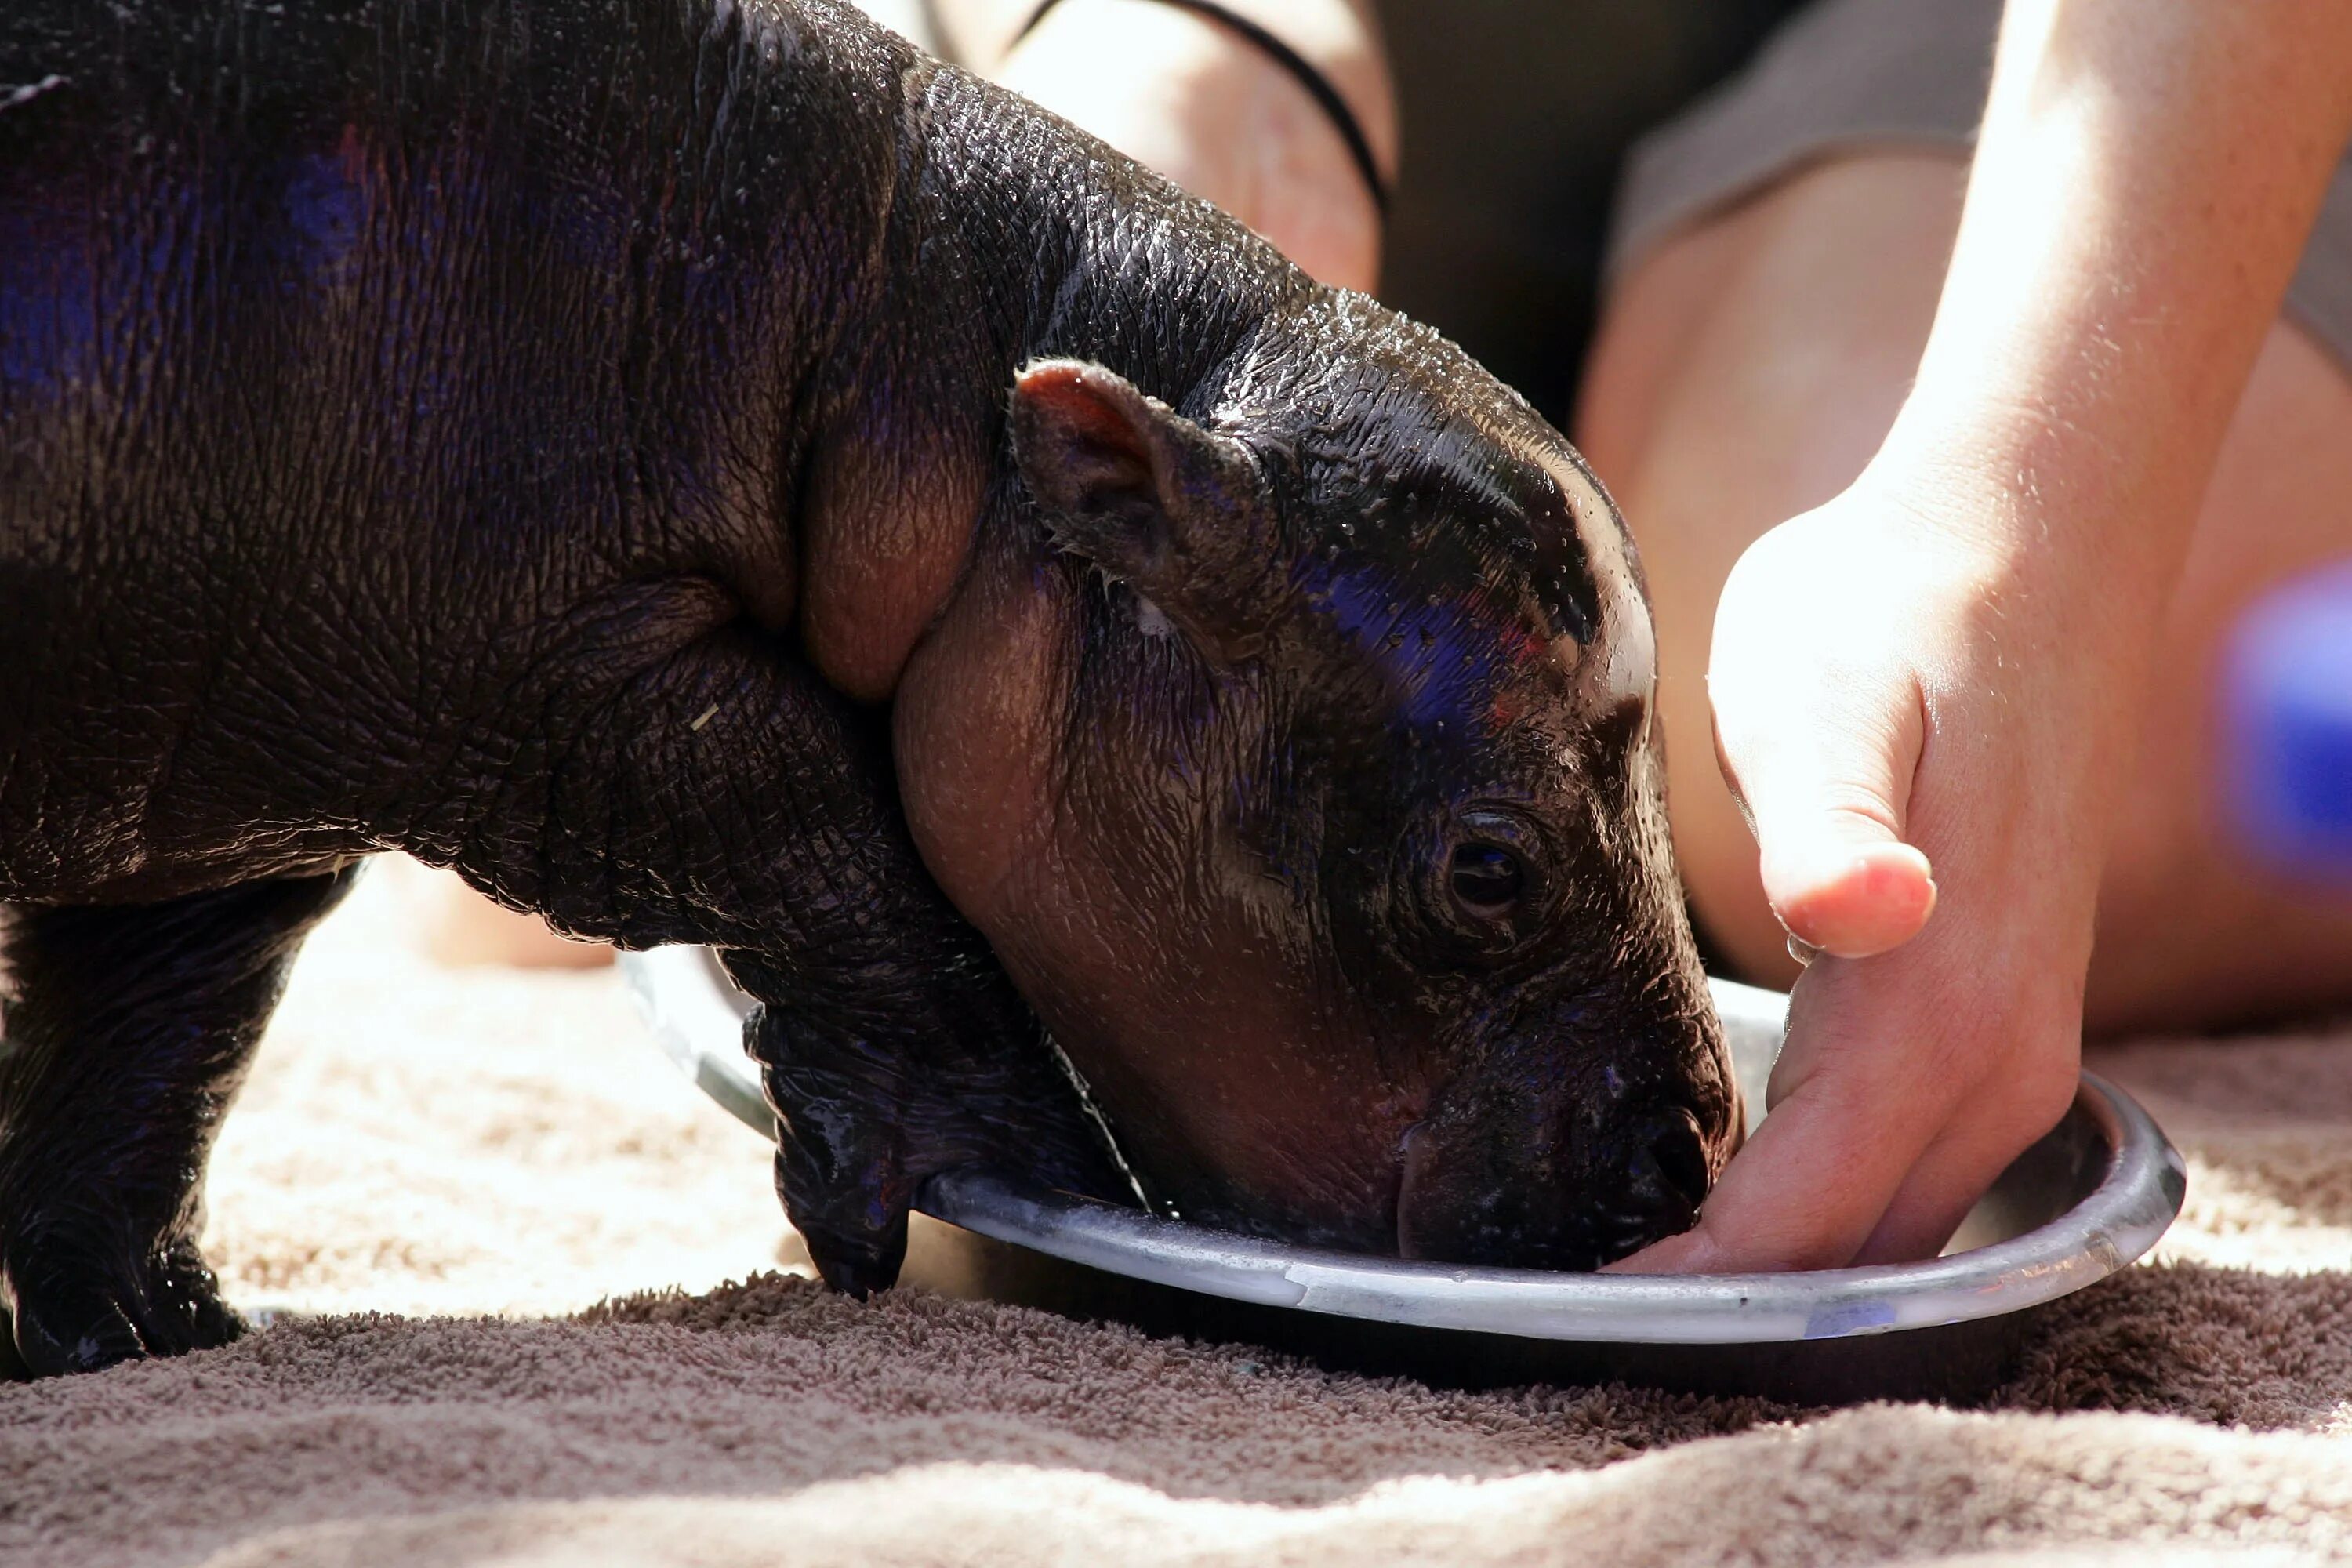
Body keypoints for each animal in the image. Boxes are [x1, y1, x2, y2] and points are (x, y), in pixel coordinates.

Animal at [0, 0, 1740, 1373]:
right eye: (1488, 870)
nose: (1698, 1151)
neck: (882, 340)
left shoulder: (207, 773)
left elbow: (159, 1031)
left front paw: (162, 1333)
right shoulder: (548, 688)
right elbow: (816, 817)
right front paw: (1018, 1174)